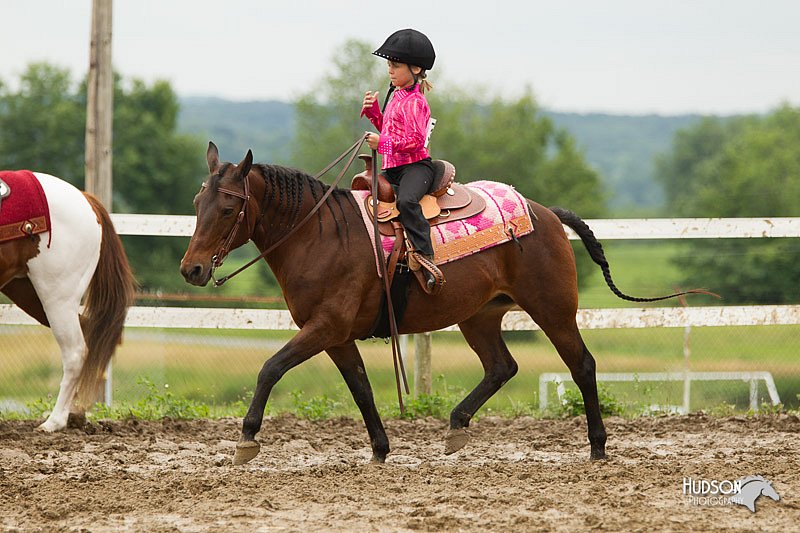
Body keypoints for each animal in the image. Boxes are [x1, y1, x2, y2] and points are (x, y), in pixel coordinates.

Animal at [0, 172, 136, 430]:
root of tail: (86, 199)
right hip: (29, 292)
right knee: (87, 332)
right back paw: (75, 412)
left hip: (56, 296)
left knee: (75, 352)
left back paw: (54, 421)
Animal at [180, 143, 700, 464]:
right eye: (196, 203)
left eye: (228, 208)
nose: (192, 269)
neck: (321, 236)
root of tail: (547, 214)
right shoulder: (334, 335)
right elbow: (361, 388)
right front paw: (380, 449)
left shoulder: (324, 327)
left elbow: (270, 367)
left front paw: (247, 438)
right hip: (480, 317)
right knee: (502, 367)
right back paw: (455, 426)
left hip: (553, 311)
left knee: (582, 365)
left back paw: (596, 447)